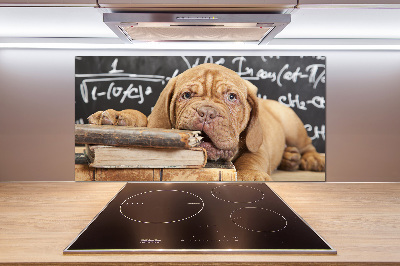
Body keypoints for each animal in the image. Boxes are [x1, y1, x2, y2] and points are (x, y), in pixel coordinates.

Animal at [88, 64, 324, 181]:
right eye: (186, 95)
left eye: (232, 97)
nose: (207, 113)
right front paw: (117, 118)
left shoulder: (258, 147)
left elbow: (251, 159)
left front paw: (251, 176)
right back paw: (290, 158)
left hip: (292, 124)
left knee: (307, 145)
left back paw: (310, 159)